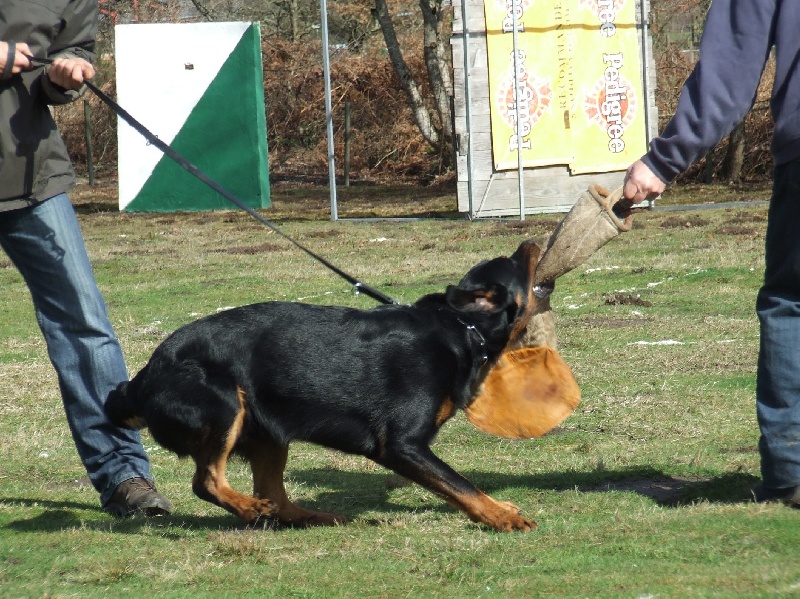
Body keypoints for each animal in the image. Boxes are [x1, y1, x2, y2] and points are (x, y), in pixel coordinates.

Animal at [106, 241, 544, 532]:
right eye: (513, 263)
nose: (528, 242)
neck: (461, 327)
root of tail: (146, 375)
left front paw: (500, 508)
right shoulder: (402, 445)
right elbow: (460, 484)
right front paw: (501, 517)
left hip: (267, 431)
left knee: (275, 494)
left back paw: (309, 515)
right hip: (226, 407)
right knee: (208, 481)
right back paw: (250, 510)